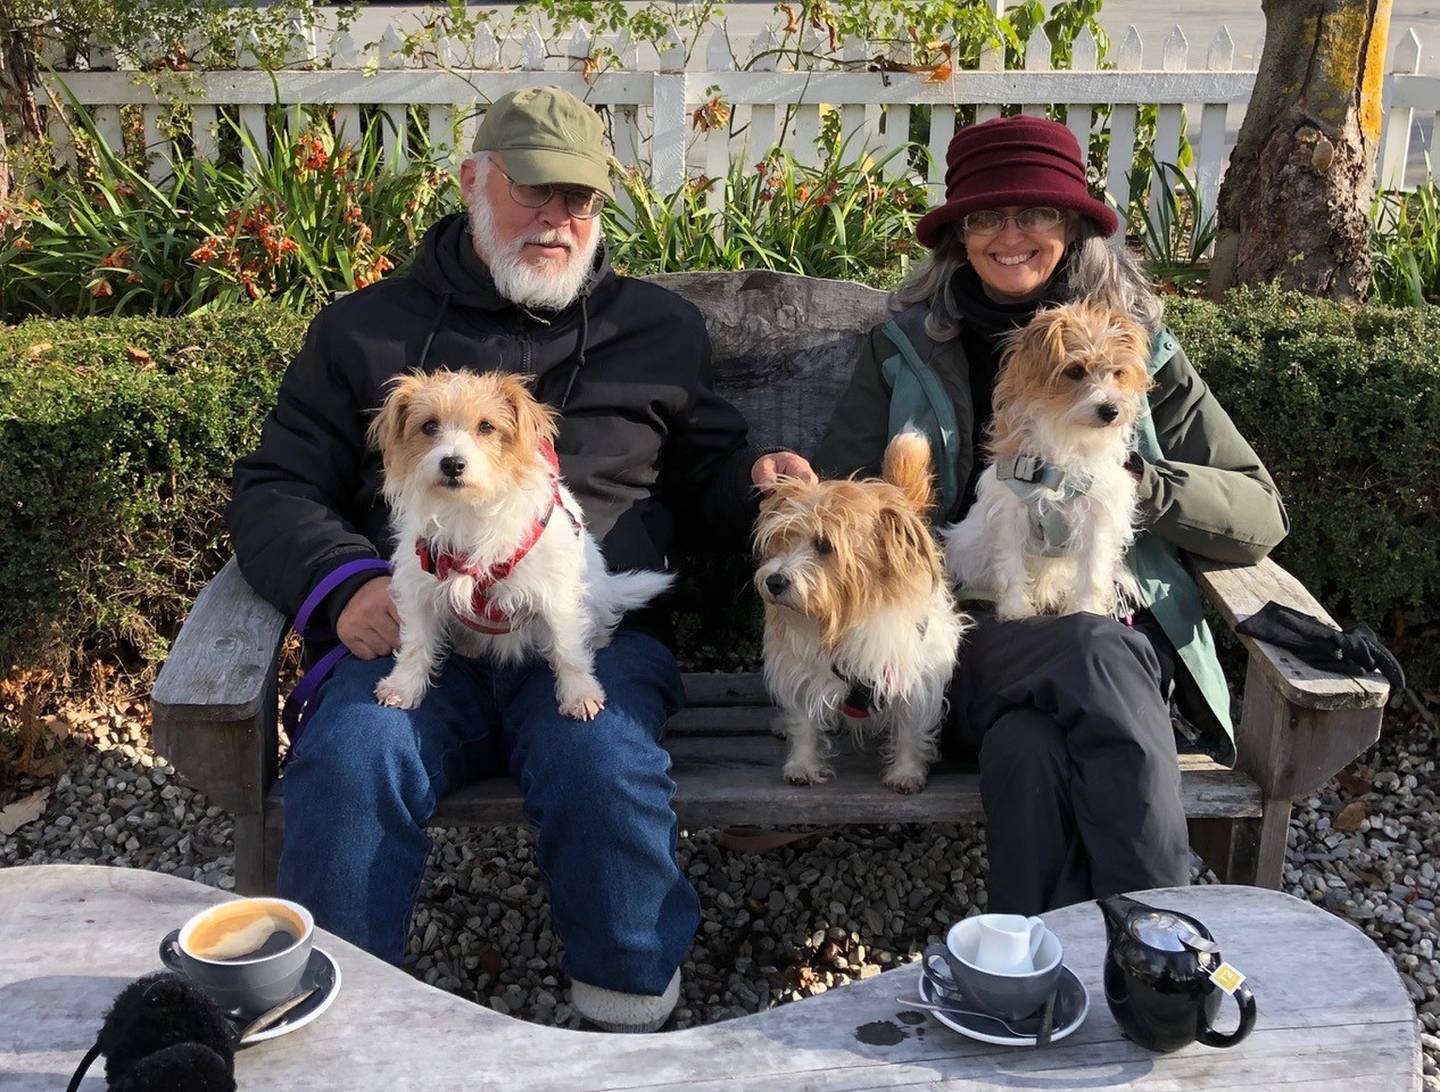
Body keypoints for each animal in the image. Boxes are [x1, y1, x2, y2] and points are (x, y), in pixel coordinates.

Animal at [365, 371, 668, 723]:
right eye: (428, 426)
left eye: (486, 427)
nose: (452, 463)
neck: (467, 511)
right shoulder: (418, 588)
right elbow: (415, 644)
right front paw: (403, 686)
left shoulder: (557, 596)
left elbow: (568, 649)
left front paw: (579, 693)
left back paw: (598, 637)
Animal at [754, 432, 967, 800]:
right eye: (782, 540)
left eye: (825, 546)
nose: (775, 581)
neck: (844, 615)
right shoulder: (801, 666)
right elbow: (804, 720)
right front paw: (803, 765)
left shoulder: (912, 670)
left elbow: (911, 726)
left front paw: (906, 771)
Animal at [944, 299, 1157, 625]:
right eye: (1076, 371)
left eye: (1118, 373)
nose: (1110, 410)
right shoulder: (1010, 514)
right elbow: (1011, 565)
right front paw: (1016, 610)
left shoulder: (1098, 517)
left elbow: (1092, 570)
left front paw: (1085, 608)